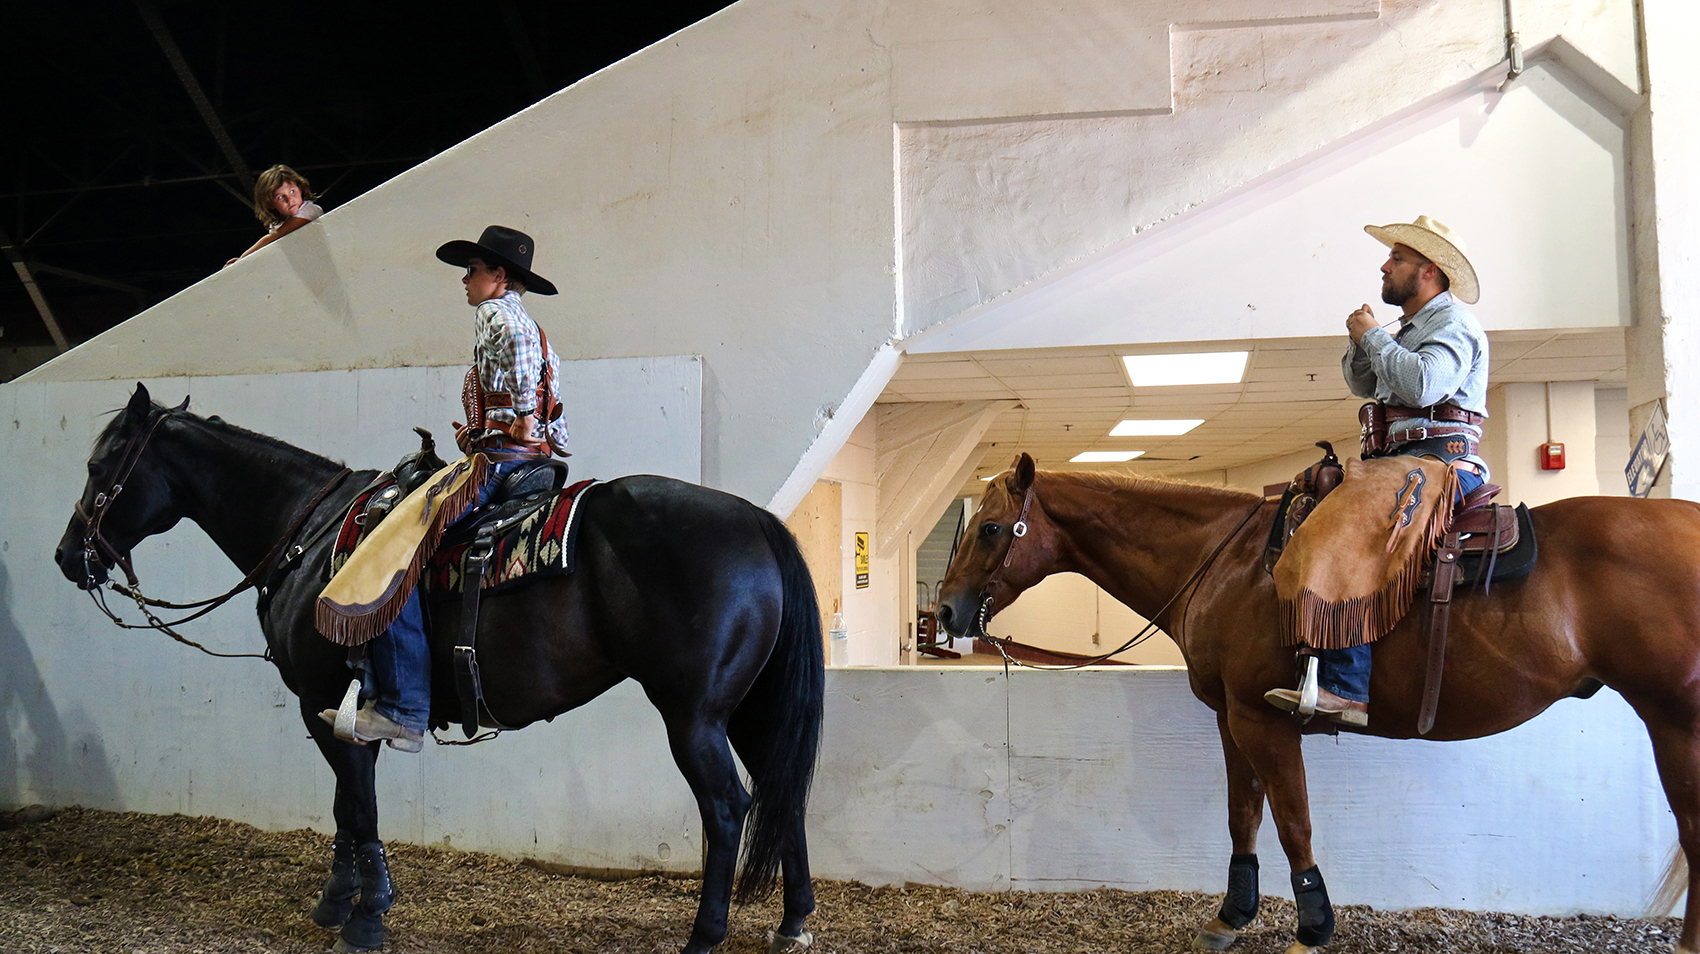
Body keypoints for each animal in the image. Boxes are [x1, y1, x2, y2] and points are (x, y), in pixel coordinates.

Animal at [53, 383, 824, 954]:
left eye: (98, 468)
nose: (67, 556)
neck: (311, 540)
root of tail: (756, 522)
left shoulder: (325, 701)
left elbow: (359, 805)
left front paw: (366, 918)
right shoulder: (343, 711)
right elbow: (346, 804)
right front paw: (337, 902)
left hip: (693, 717)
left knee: (727, 807)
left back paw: (705, 935)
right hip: (747, 709)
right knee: (784, 794)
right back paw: (792, 923)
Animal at [936, 452, 1700, 954]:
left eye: (991, 528)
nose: (945, 611)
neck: (1230, 563)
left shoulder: (1264, 720)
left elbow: (1293, 821)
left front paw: (1312, 927)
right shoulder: (1230, 717)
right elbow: (1243, 815)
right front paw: (1232, 914)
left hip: (1677, 723)